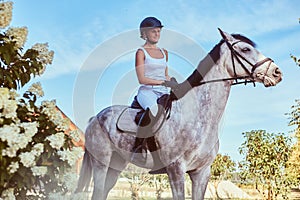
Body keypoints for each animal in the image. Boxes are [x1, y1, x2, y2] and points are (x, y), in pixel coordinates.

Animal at [75, 28, 282, 199]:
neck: (199, 117)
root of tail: (95, 118)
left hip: (116, 165)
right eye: (246, 49)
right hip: (101, 162)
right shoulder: (176, 170)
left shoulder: (202, 172)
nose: (277, 73)